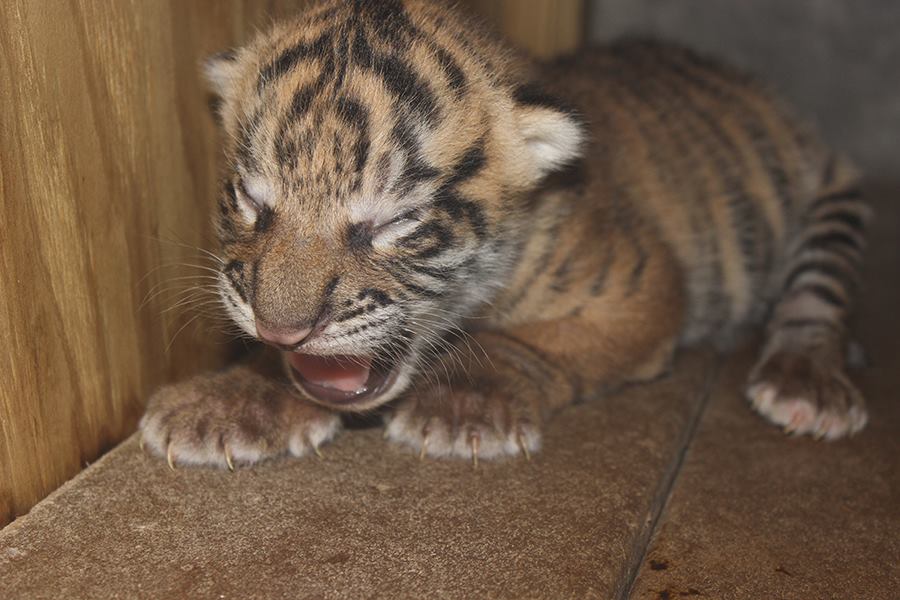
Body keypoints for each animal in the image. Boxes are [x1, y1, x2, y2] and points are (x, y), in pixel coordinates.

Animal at [139, 0, 870, 469]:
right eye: (251, 200)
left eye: (394, 222)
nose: (284, 329)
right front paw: (231, 400)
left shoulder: (644, 289)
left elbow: (520, 343)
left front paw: (463, 406)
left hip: (833, 202)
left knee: (817, 300)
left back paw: (805, 384)